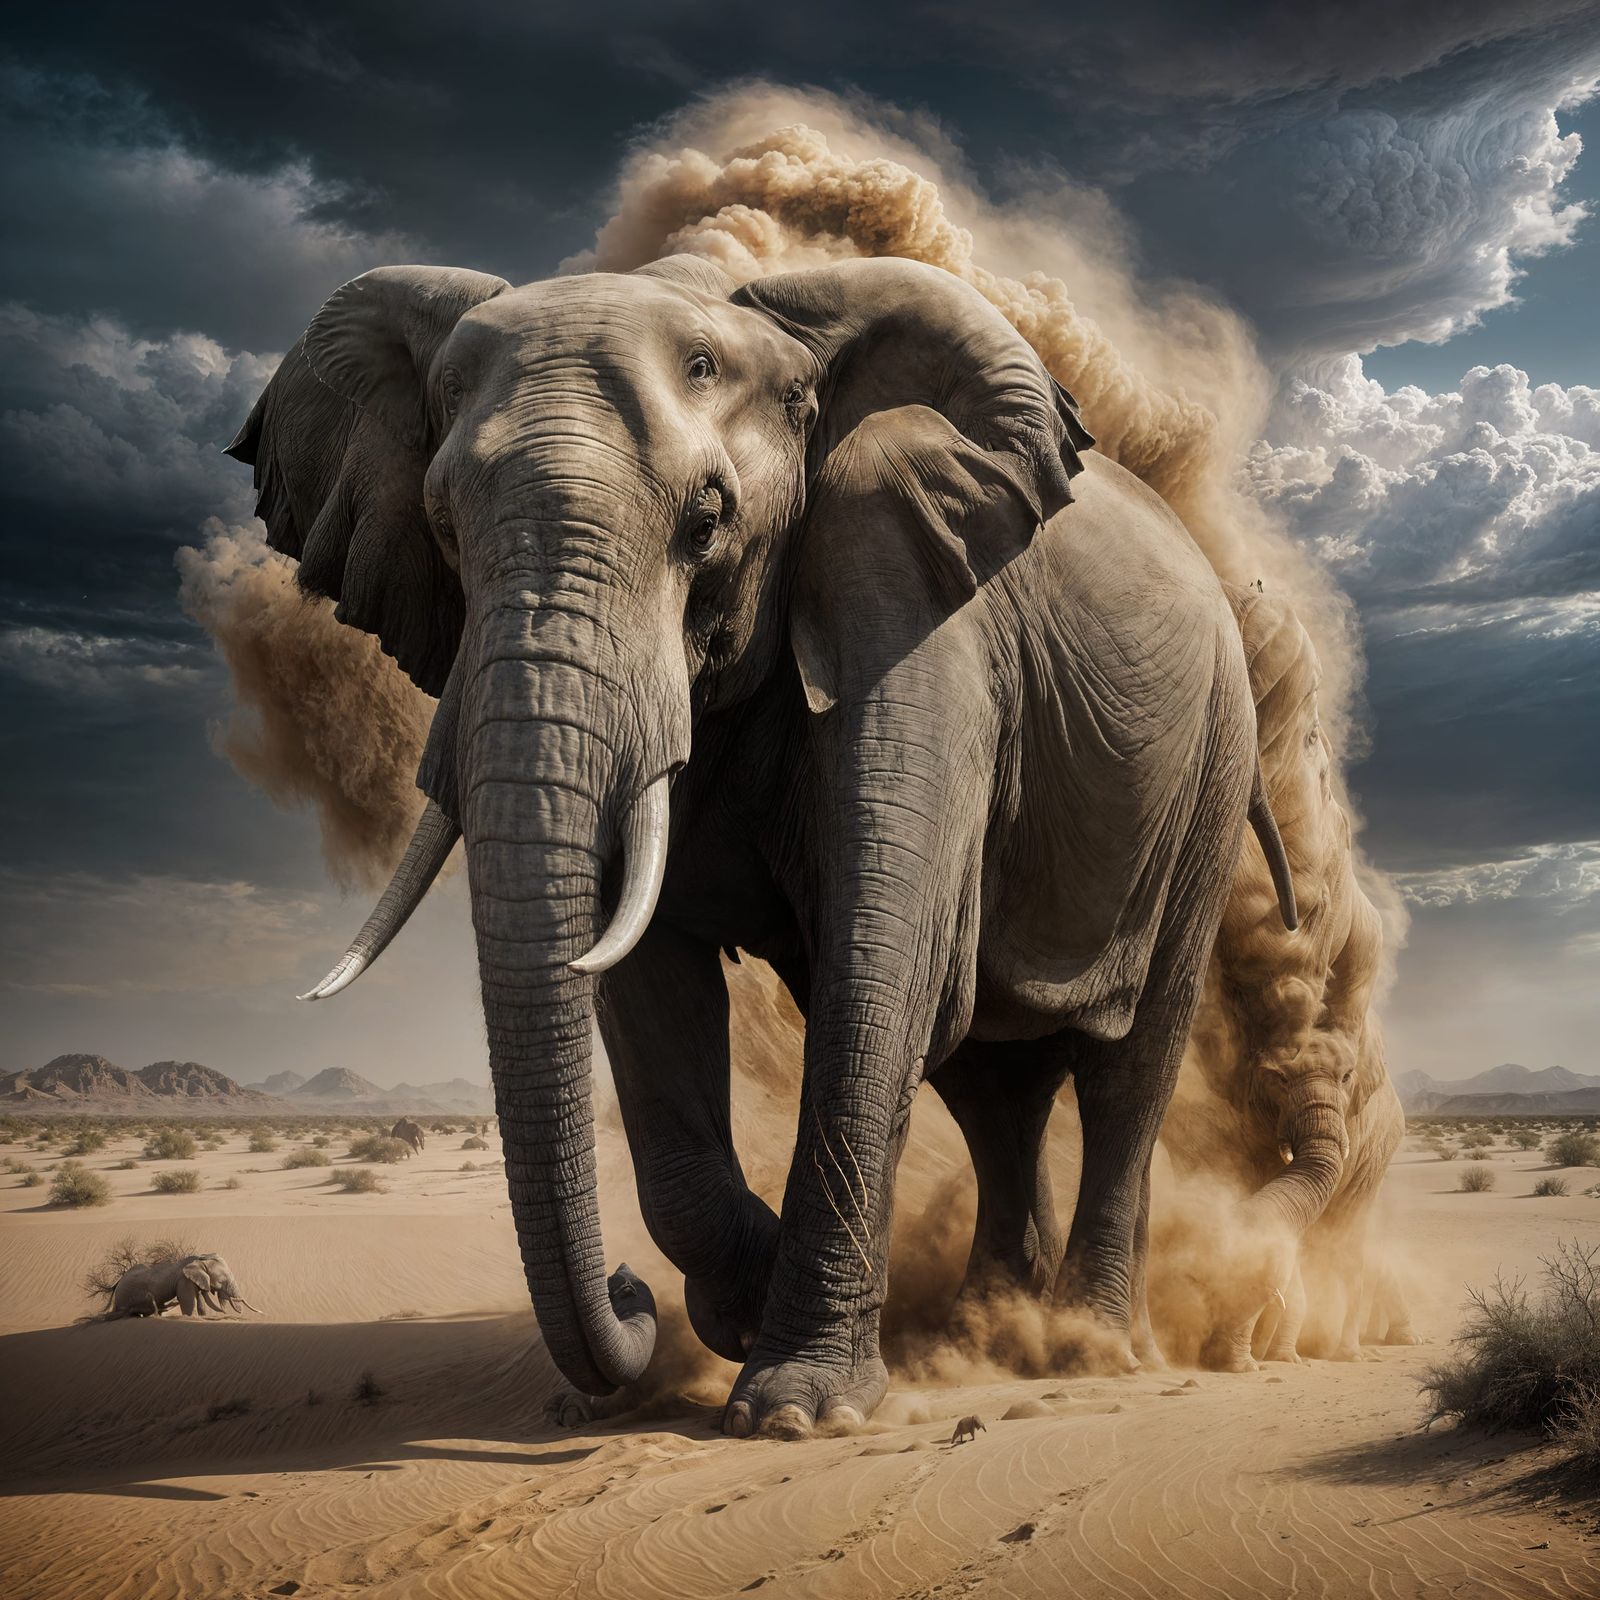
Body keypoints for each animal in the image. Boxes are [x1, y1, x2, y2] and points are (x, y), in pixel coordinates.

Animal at [107, 1253, 261, 1319]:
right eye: (222, 1281)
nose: (261, 1312)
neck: (199, 1260)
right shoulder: (184, 1281)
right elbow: (188, 1305)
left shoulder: (194, 1281)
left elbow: (201, 1302)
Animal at [228, 252, 1295, 1435]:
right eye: (445, 529)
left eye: (707, 524)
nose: (628, 1292)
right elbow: (647, 981)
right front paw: (739, 1308)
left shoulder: (916, 609)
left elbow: (883, 961)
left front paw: (794, 1406)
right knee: (994, 1087)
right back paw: (982, 1329)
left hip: (1212, 768)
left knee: (1124, 1068)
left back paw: (1085, 1346)